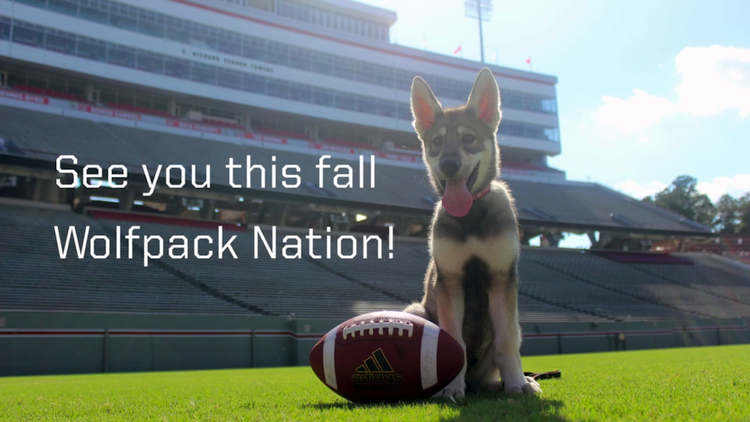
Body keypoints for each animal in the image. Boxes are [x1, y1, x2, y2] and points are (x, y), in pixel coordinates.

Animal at [406, 67, 540, 400]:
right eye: (436, 142)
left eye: (469, 138)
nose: (448, 164)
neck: (470, 218)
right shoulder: (450, 281)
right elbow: (455, 343)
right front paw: (451, 388)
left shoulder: (501, 277)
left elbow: (507, 341)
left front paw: (517, 382)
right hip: (417, 310)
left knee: (487, 373)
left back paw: (502, 383)